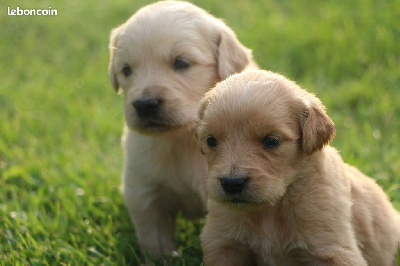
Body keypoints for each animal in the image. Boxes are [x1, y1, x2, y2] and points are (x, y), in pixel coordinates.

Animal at [107, 0, 256, 258]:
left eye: (181, 63)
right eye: (126, 70)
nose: (145, 105)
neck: (182, 138)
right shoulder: (143, 189)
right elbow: (153, 236)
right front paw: (160, 258)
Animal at [197, 69, 400, 264]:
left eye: (271, 141)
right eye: (211, 140)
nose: (232, 183)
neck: (272, 209)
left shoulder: (332, 249)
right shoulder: (223, 245)